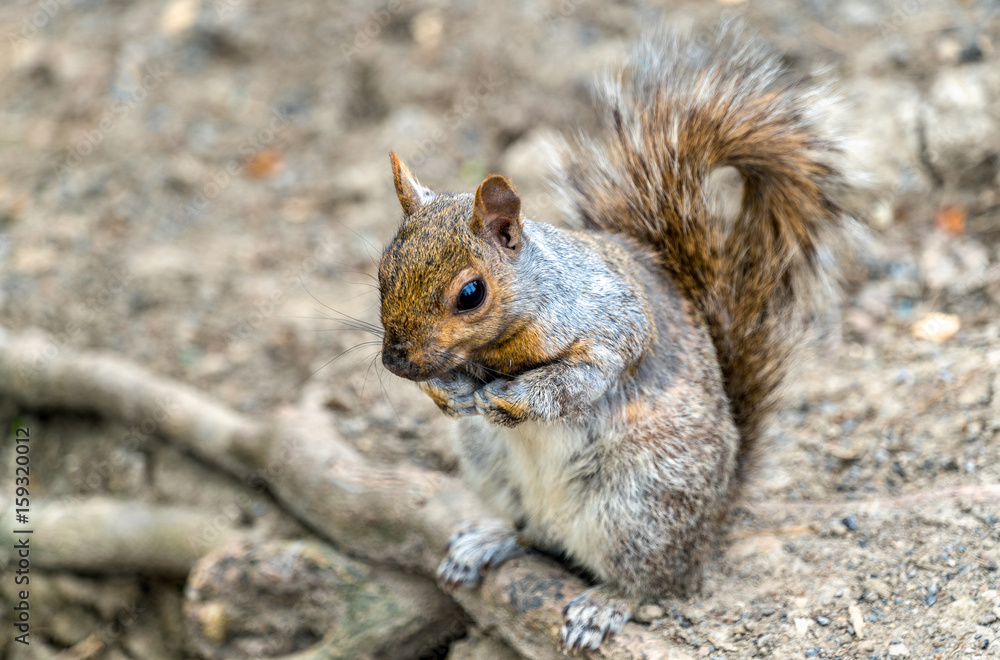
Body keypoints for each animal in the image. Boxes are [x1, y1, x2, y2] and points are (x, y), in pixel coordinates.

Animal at [376, 21, 860, 656]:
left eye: (471, 293)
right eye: (382, 269)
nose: (395, 362)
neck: (500, 345)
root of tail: (714, 518)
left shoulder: (613, 323)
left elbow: (578, 379)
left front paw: (510, 399)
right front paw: (451, 396)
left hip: (642, 504)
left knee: (651, 579)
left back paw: (605, 603)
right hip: (497, 472)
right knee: (535, 532)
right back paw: (490, 540)